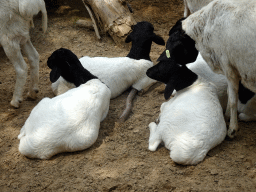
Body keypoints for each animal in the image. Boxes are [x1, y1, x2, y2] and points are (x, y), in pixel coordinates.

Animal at [163, 0, 256, 138]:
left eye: (174, 41)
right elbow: (229, 94)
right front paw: (227, 115)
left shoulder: (228, 66)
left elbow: (233, 99)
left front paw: (232, 128)